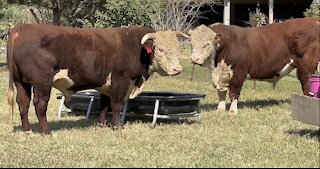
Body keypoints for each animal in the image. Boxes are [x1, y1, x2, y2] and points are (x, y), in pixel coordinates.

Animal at [6, 24, 189, 135]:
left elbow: (104, 104)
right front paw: (118, 127)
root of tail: (22, 27)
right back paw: (46, 132)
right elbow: (116, 105)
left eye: (177, 48)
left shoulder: (106, 85)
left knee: (23, 103)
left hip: (21, 82)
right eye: (161, 49)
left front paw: (102, 124)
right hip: (42, 82)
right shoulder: (120, 80)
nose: (177, 70)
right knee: (40, 104)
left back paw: (27, 131)